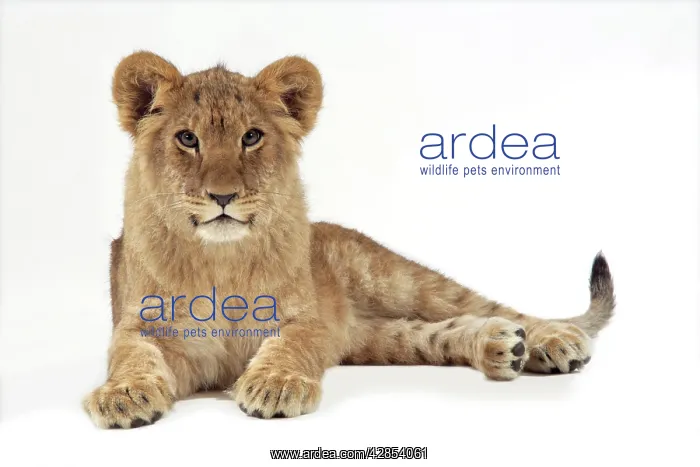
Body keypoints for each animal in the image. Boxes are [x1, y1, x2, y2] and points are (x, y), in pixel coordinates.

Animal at [83, 51, 615, 428]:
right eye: (187, 139)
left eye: (251, 137)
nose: (223, 196)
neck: (221, 260)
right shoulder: (142, 326)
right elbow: (130, 355)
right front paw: (123, 395)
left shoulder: (308, 320)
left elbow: (289, 344)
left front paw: (275, 385)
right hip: (378, 339)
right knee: (434, 334)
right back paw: (502, 347)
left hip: (393, 279)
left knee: (489, 307)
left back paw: (553, 341)